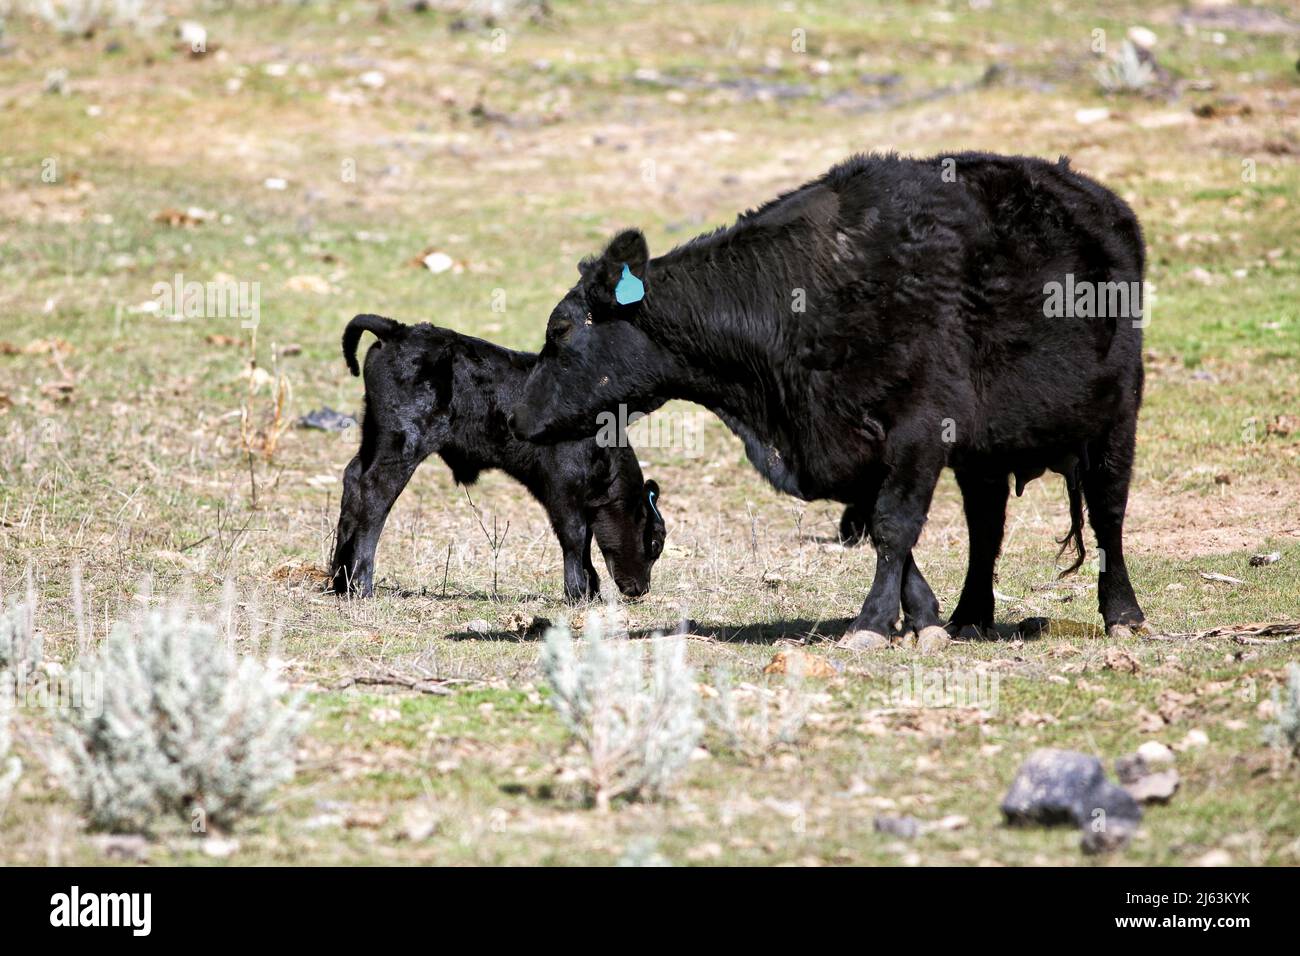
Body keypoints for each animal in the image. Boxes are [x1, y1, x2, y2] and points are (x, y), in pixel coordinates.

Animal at [329, 314, 666, 602]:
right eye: (654, 543)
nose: (642, 589)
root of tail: (399, 330)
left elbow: (583, 544)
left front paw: (590, 591)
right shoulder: (562, 490)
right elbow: (574, 537)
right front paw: (577, 592)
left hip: (373, 436)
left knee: (353, 479)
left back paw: (339, 580)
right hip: (402, 444)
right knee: (374, 493)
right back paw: (362, 584)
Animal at [508, 152, 1148, 643]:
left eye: (560, 329)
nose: (516, 417)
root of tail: (1097, 198)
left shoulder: (918, 430)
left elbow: (893, 525)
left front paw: (871, 624)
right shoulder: (852, 448)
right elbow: (884, 528)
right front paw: (924, 616)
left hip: (1117, 415)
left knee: (1109, 511)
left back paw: (1123, 613)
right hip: (985, 451)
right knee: (987, 524)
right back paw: (971, 615)